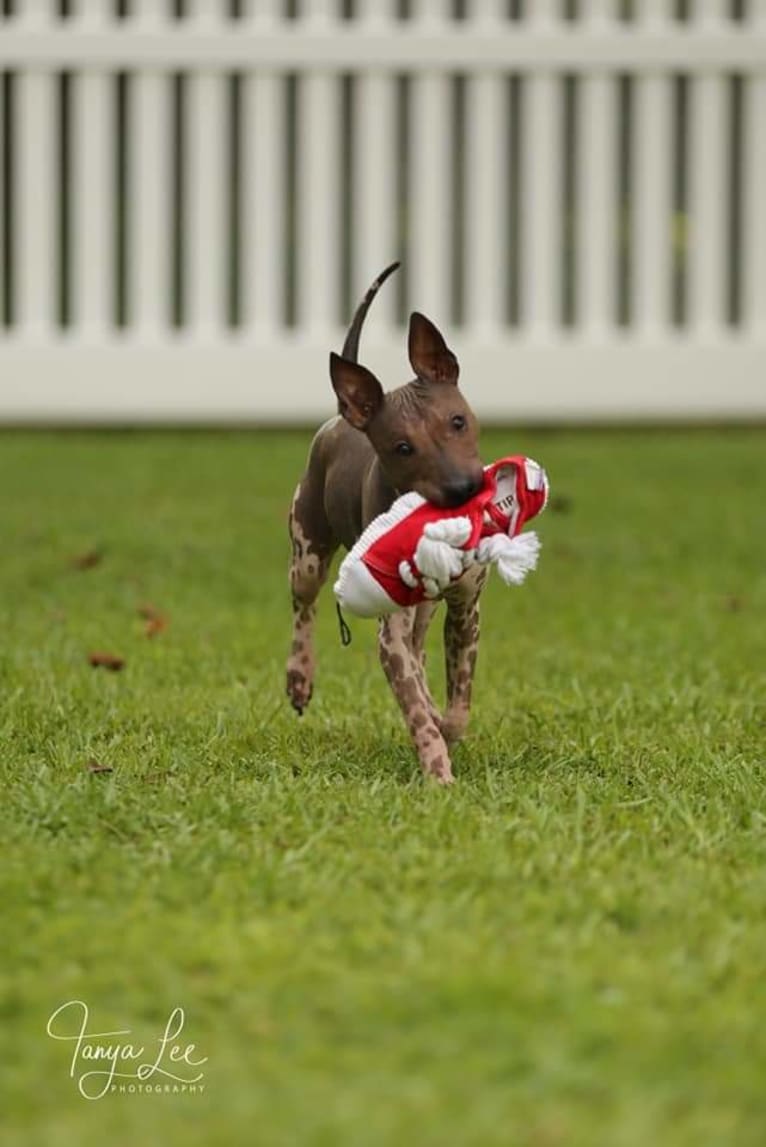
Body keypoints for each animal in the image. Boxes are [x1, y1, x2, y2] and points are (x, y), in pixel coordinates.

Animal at [286, 261, 483, 784]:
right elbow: (416, 709)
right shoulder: (388, 630)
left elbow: (457, 699)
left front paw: (446, 725)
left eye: (458, 422)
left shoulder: (465, 609)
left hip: (427, 607)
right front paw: (438, 773)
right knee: (303, 607)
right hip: (307, 550)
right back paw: (299, 677)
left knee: (420, 648)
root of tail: (340, 418)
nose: (463, 489)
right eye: (402, 448)